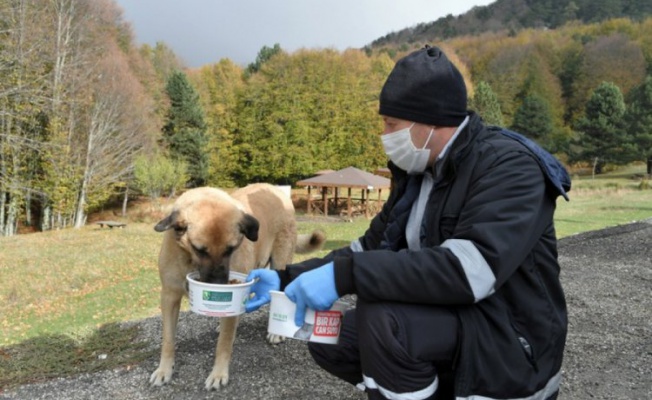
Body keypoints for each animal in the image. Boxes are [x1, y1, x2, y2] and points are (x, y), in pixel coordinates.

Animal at [152, 184, 326, 390]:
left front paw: (218, 374)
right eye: (200, 249)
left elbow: (224, 343)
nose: (219, 285)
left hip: (280, 263)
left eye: (231, 249)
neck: (190, 261)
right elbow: (168, 339)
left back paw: (275, 333)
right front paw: (164, 370)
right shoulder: (169, 297)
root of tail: (274, 188)